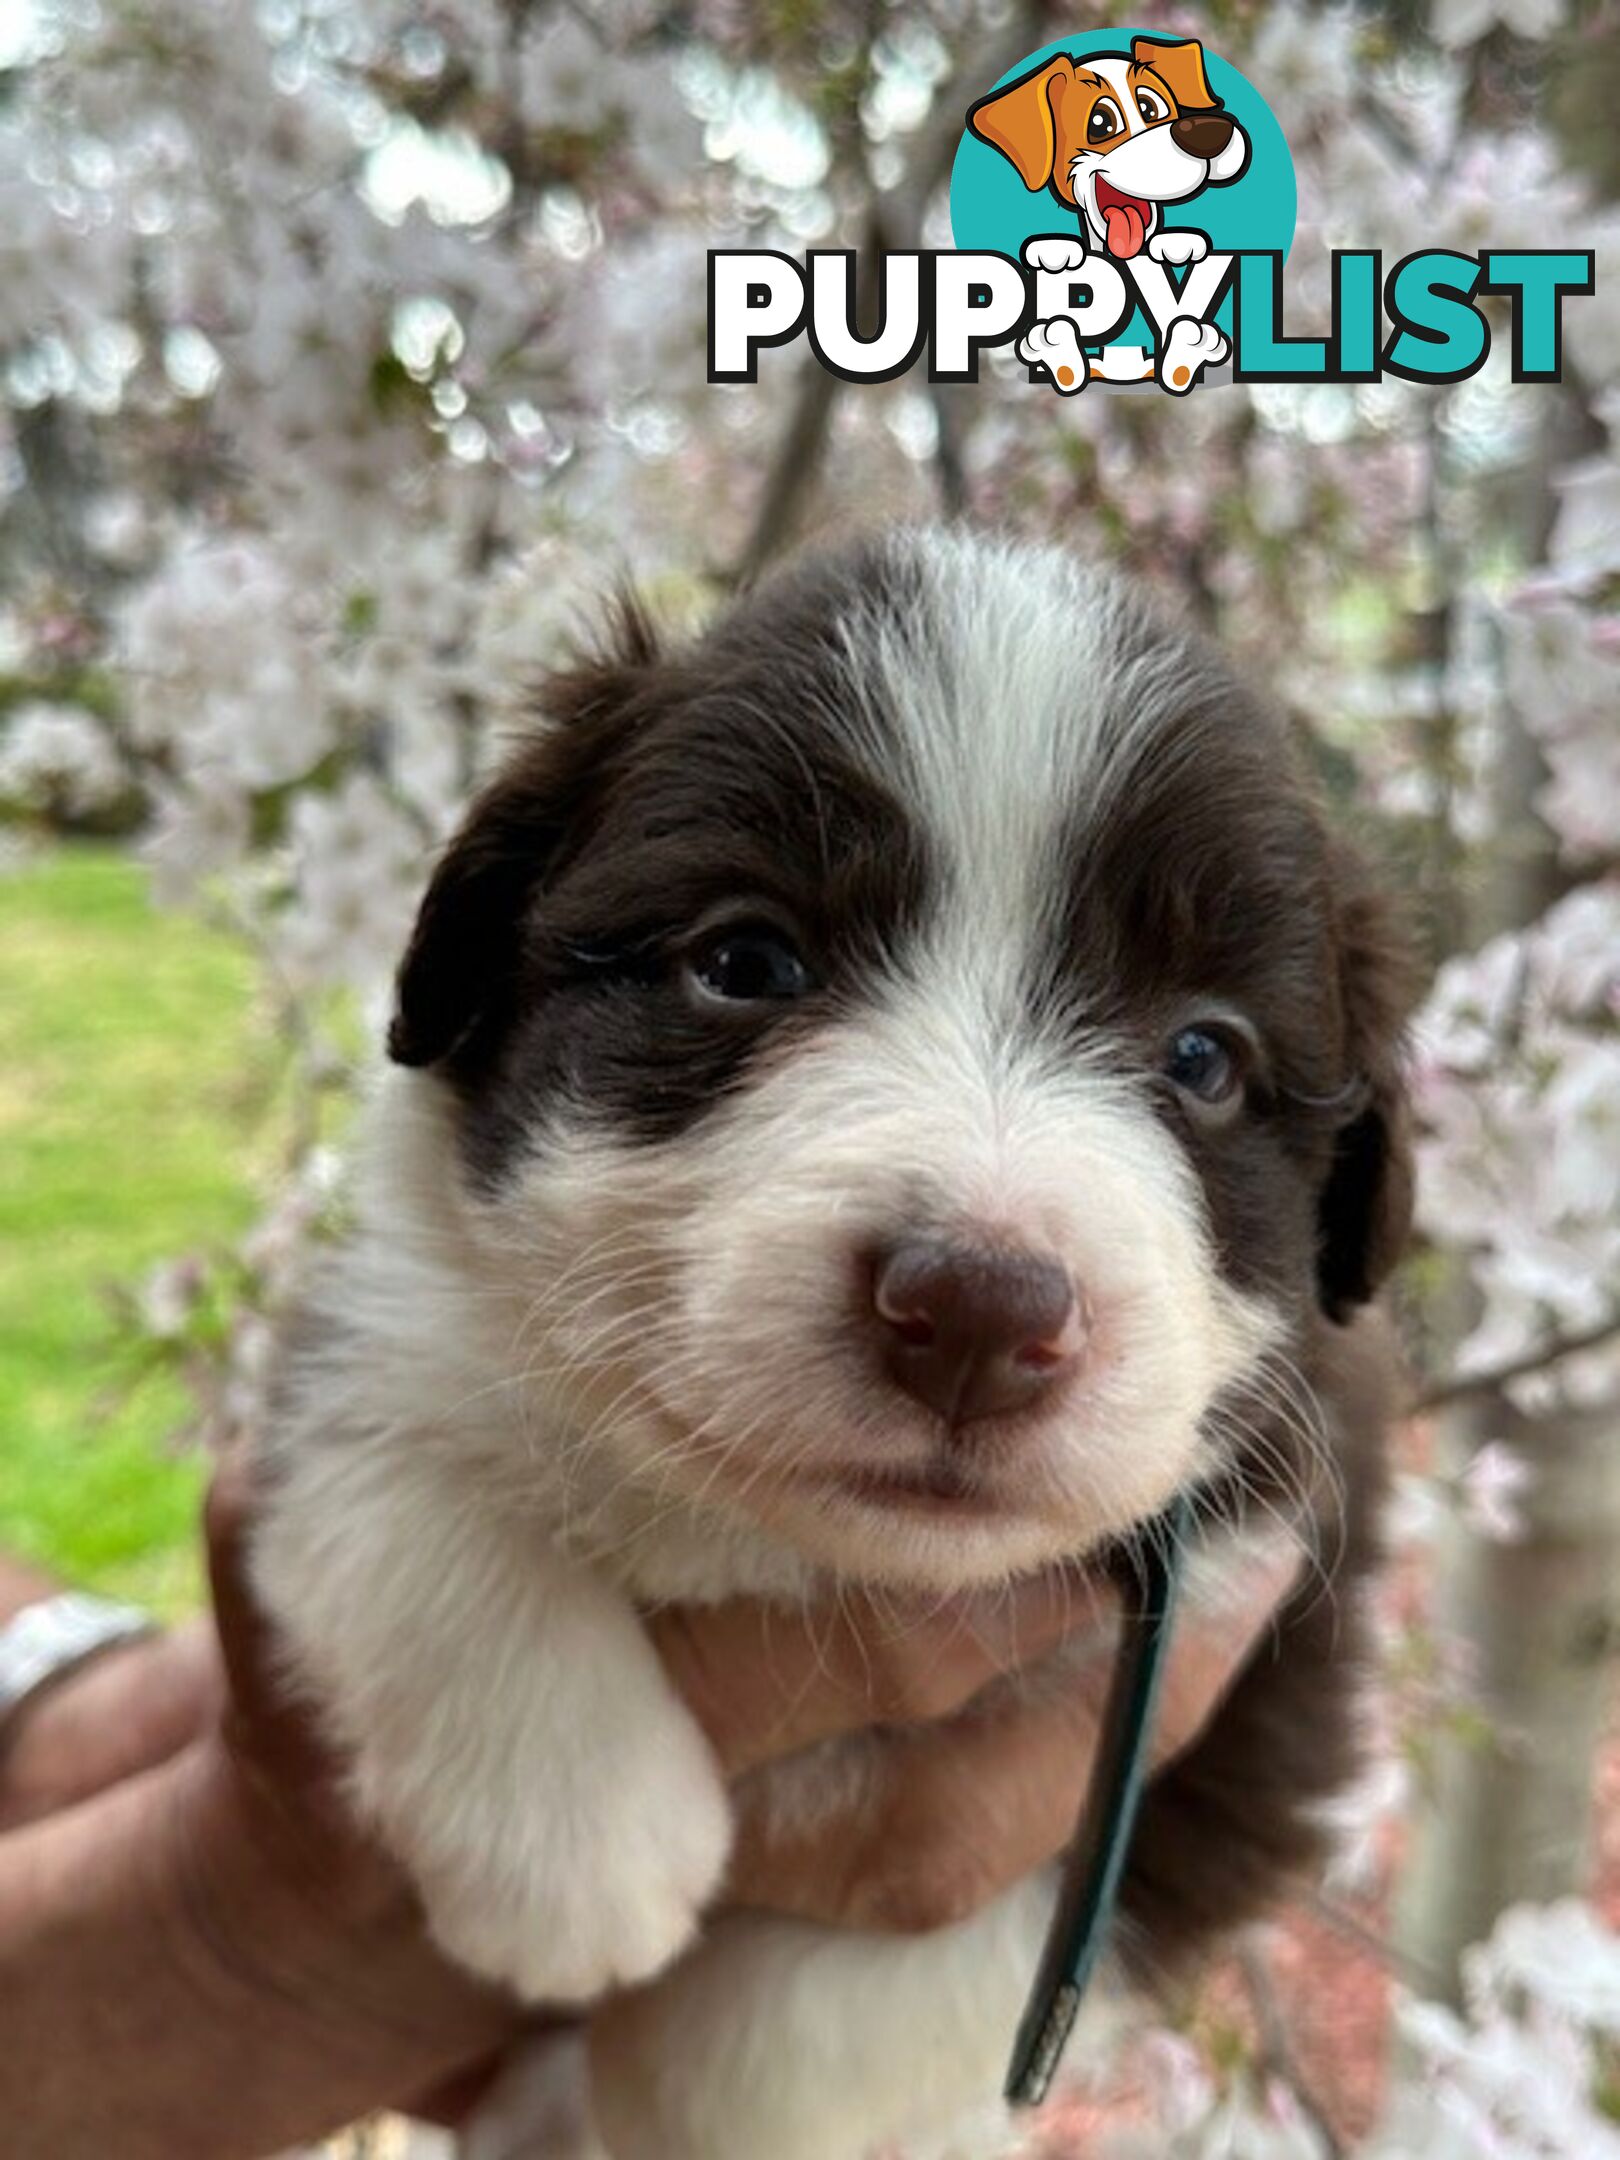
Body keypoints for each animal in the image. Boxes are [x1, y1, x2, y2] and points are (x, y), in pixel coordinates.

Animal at [250, 527, 1408, 2160]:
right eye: (746, 961)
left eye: (1205, 1058)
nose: (978, 1312)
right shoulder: (384, 1311)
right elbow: (398, 1464)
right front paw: (579, 1854)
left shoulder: (1257, 1660)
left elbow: (868, 1993)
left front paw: (676, 2083)